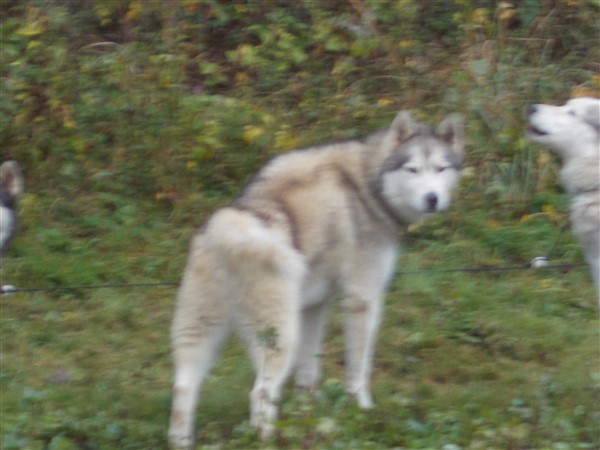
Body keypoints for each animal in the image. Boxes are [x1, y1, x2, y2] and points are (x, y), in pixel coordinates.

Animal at [168, 110, 464, 450]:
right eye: (412, 169)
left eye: (441, 168)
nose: (432, 198)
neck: (367, 186)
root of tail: (228, 228)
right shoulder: (363, 300)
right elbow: (359, 369)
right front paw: (361, 409)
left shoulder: (312, 307)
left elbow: (309, 371)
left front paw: (306, 410)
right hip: (280, 338)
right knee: (260, 393)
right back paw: (269, 439)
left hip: (199, 333)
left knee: (183, 389)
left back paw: (181, 441)